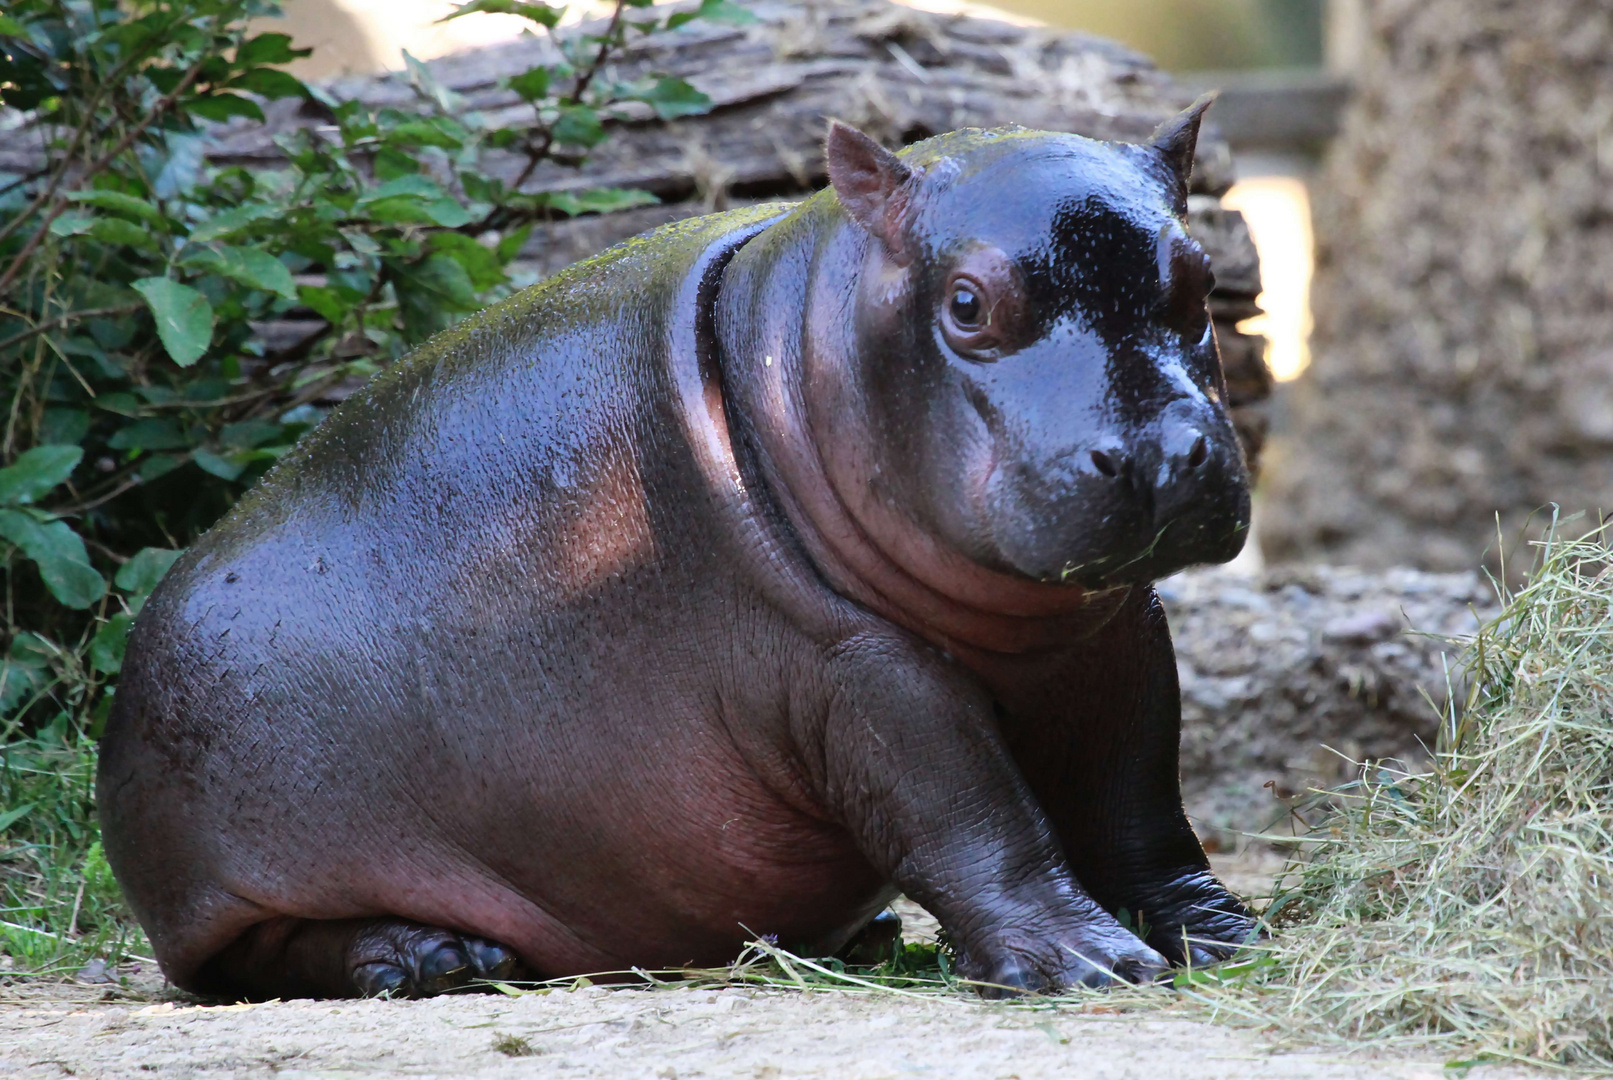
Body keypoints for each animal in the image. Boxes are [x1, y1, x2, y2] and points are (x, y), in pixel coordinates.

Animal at [104, 97, 1258, 1005]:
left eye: (1201, 282)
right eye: (967, 304)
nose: (1162, 450)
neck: (801, 341)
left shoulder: (1116, 634)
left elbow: (1138, 807)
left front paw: (1222, 935)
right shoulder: (859, 670)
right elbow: (973, 813)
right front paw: (1092, 966)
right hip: (229, 881)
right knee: (253, 958)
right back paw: (427, 959)